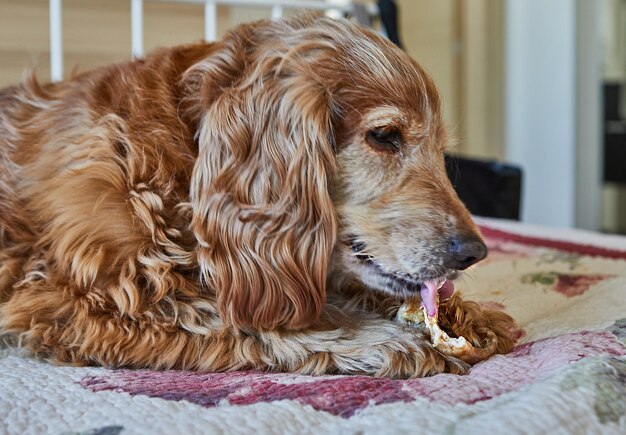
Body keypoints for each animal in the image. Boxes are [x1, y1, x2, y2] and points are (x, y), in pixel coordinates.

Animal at [0, 16, 512, 378]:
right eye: (385, 136)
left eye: (441, 150)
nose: (474, 252)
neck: (185, 154)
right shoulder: (85, 298)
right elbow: (243, 317)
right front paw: (380, 338)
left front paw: (466, 316)